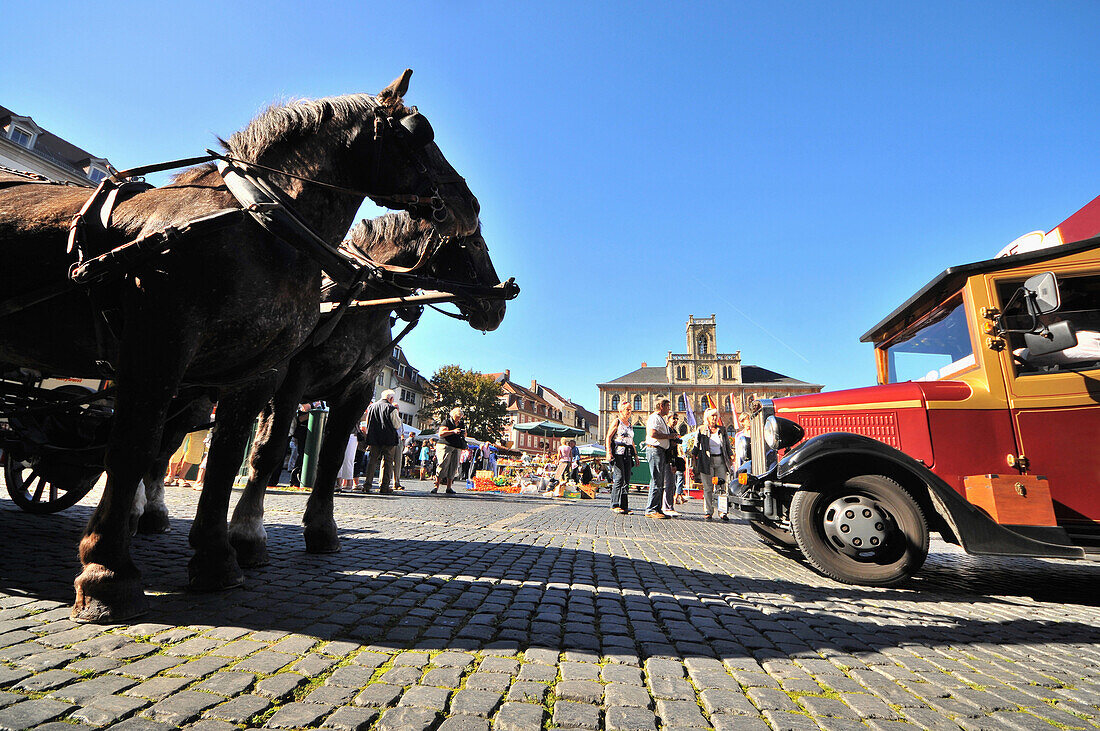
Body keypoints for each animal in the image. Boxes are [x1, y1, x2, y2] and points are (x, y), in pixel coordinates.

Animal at [1, 69, 481, 619]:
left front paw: (218, 558)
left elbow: (232, 456)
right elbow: (140, 447)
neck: (261, 224)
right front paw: (109, 573)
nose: (470, 206)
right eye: (421, 133)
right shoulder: (162, 347)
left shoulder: (264, 372)